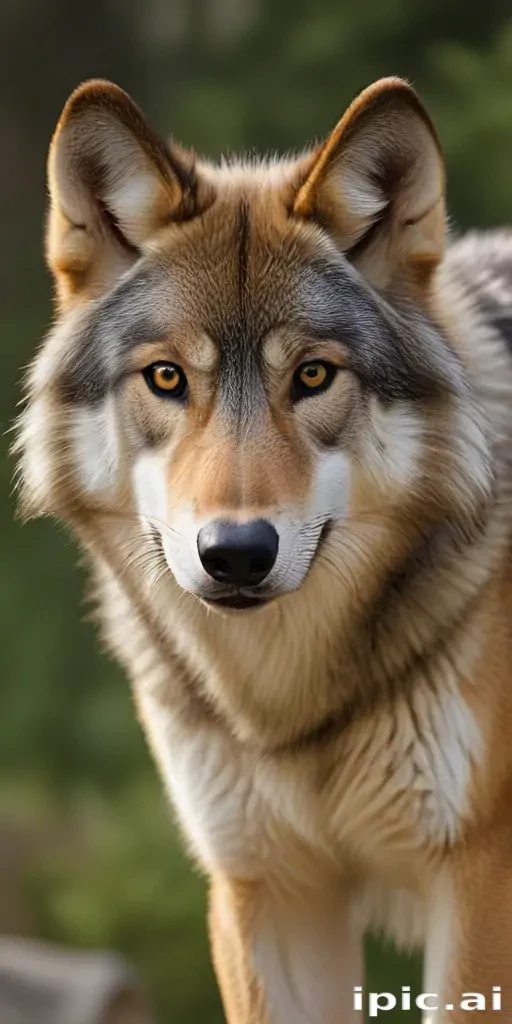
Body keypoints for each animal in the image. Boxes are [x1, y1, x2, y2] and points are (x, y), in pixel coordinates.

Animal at [14, 76, 512, 1021]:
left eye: (312, 376)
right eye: (167, 377)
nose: (237, 553)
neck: (287, 706)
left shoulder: (477, 885)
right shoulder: (267, 890)